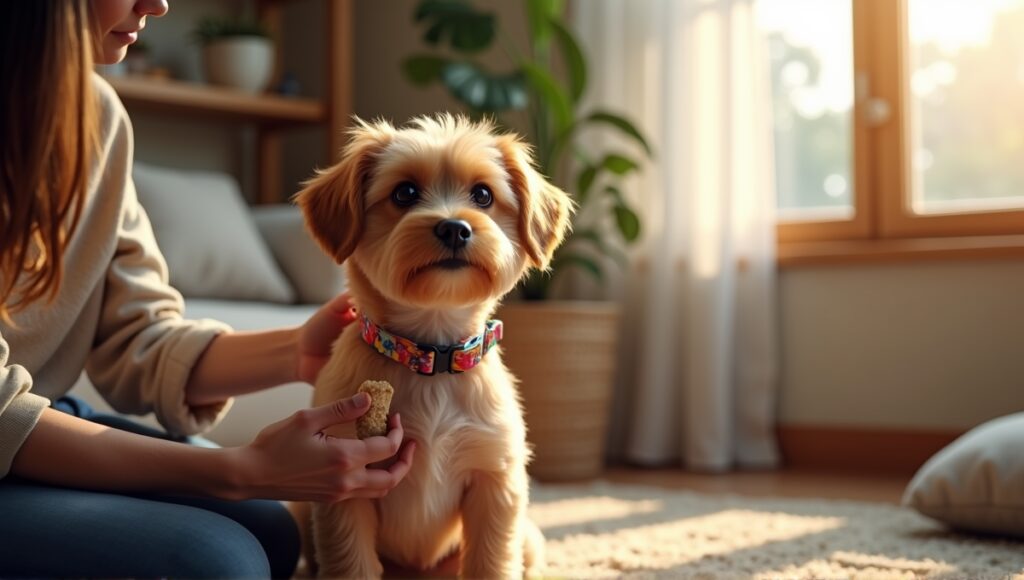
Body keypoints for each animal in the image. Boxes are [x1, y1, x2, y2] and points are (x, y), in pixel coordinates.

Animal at [292, 114, 573, 580]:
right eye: (404, 192)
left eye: (483, 194)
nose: (454, 227)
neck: (431, 356)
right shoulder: (344, 487)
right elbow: (352, 564)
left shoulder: (495, 481)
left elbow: (491, 563)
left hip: (529, 537)